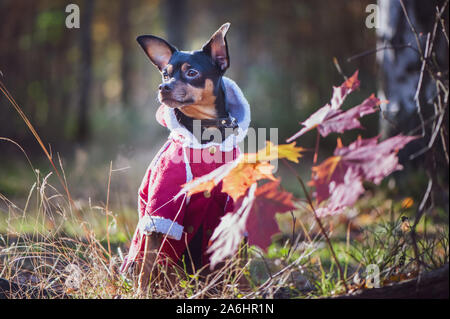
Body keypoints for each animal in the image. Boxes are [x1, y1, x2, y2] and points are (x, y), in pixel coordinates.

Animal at [119, 21, 251, 292]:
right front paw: (141, 292)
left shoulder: (235, 206)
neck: (205, 131)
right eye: (165, 74)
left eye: (191, 73)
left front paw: (244, 290)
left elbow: (238, 263)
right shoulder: (163, 206)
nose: (163, 87)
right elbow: (148, 264)